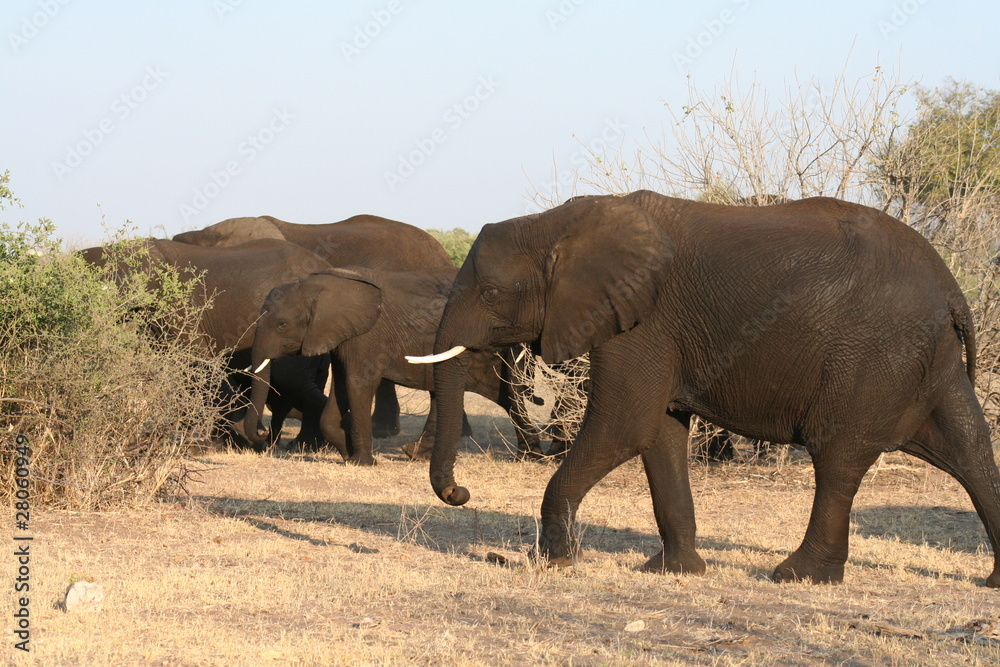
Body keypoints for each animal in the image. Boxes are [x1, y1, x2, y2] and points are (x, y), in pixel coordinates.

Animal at [241, 264, 540, 464]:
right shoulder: (342, 335)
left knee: (506, 392)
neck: (324, 284)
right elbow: (341, 387)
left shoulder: (367, 336)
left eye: (282, 324)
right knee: (499, 394)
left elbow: (359, 384)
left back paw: (530, 457)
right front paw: (347, 453)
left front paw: (363, 462)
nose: (262, 432)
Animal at [408, 190, 1000, 588]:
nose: (460, 494)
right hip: (927, 356)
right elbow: (660, 433)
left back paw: (796, 576)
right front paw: (673, 572)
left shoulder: (642, 324)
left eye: (490, 292)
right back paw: (992, 582)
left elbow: (624, 426)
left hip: (874, 355)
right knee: (970, 447)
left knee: (838, 456)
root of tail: (951, 288)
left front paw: (555, 562)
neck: (560, 222)